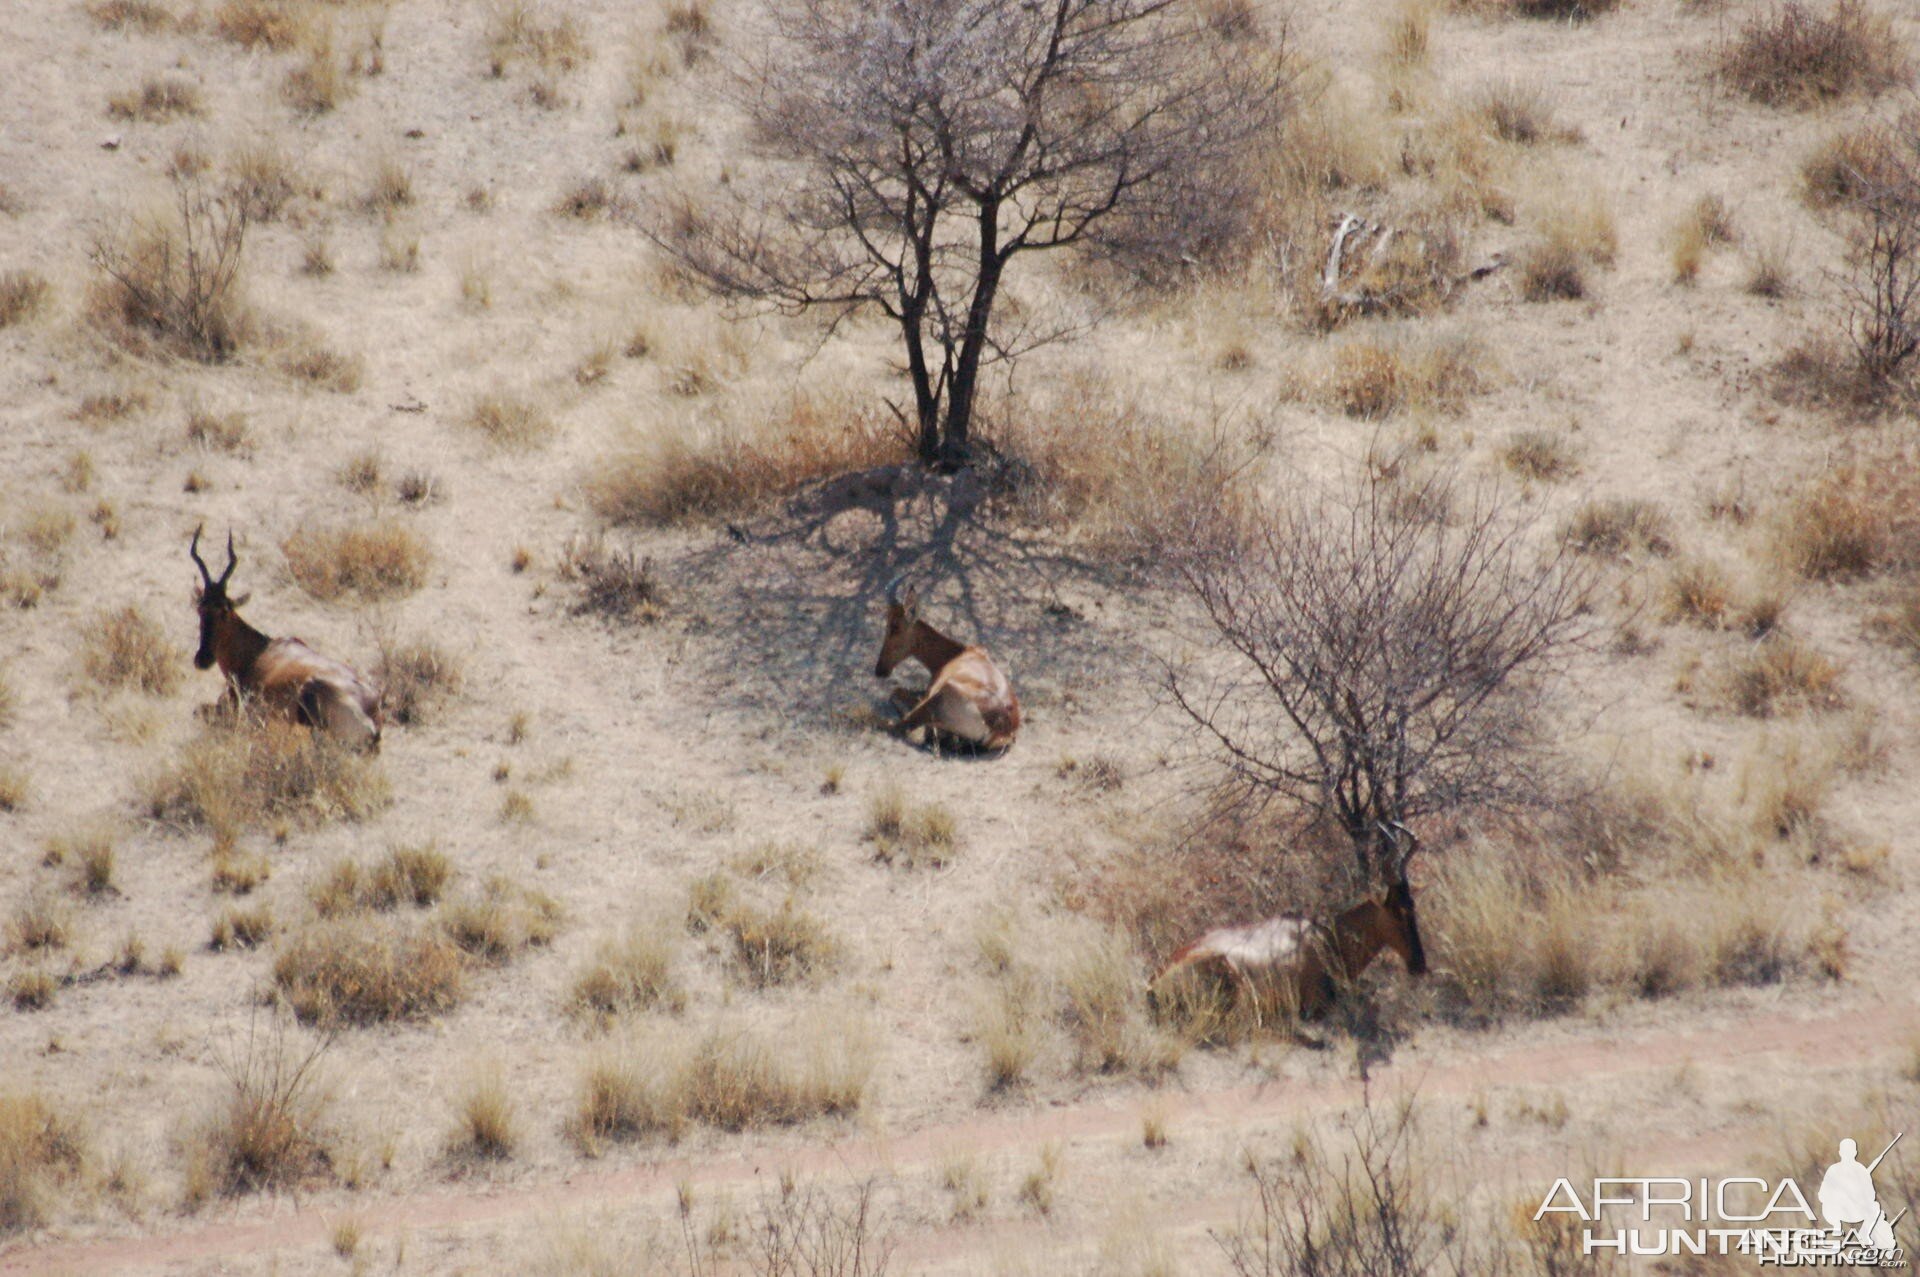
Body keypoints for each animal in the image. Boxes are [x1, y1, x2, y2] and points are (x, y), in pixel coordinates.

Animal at [871, 576, 1021, 748]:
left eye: (895, 627)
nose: (880, 670)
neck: (960, 654)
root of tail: (1001, 730)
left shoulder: (929, 692)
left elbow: (895, 692)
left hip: (937, 698)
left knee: (899, 727)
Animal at [1144, 825, 1436, 1029]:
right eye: (1400, 910)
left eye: (1413, 904)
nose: (1419, 964)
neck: (1321, 937)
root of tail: (1153, 984)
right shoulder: (1316, 1003)